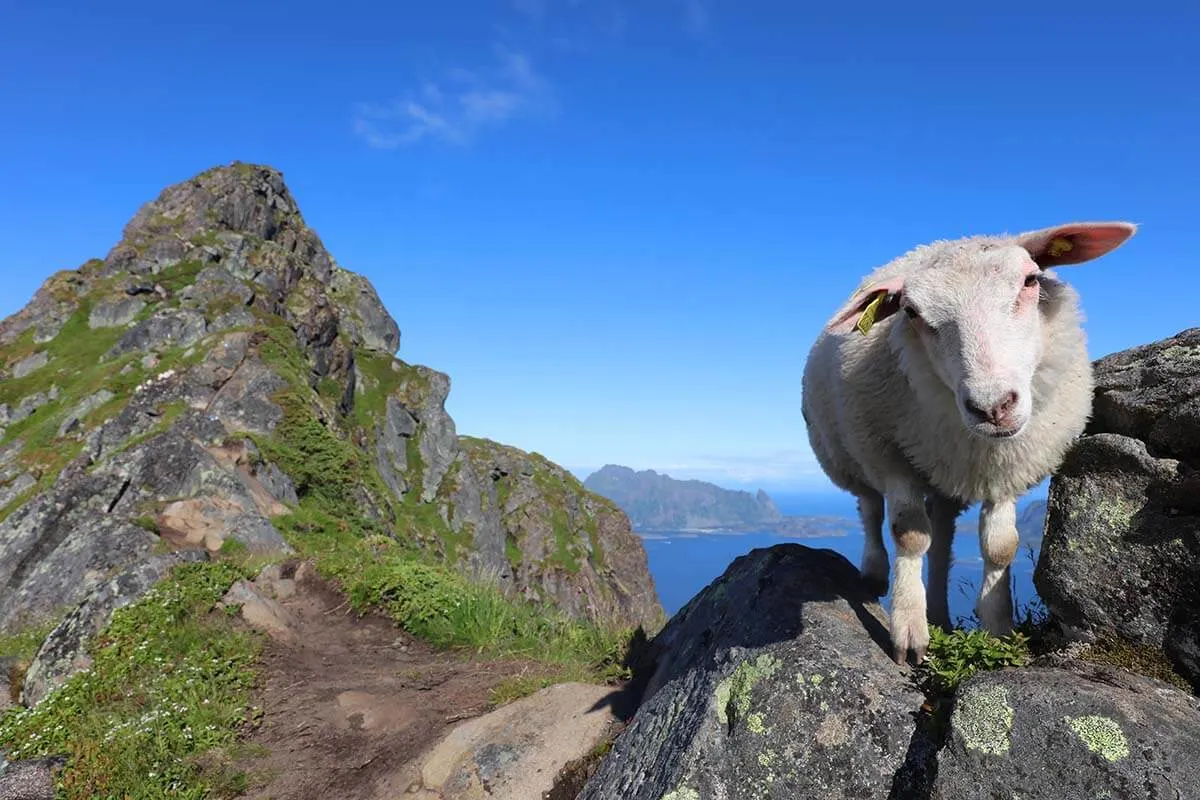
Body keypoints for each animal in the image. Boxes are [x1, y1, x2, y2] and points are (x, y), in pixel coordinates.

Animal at [801, 219, 1137, 662]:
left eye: (1031, 280)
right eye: (911, 312)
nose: (993, 406)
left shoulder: (1009, 468)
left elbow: (1001, 546)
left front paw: (998, 629)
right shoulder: (891, 459)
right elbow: (908, 534)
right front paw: (909, 629)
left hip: (943, 476)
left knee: (942, 534)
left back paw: (940, 612)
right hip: (852, 451)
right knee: (870, 507)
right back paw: (875, 573)